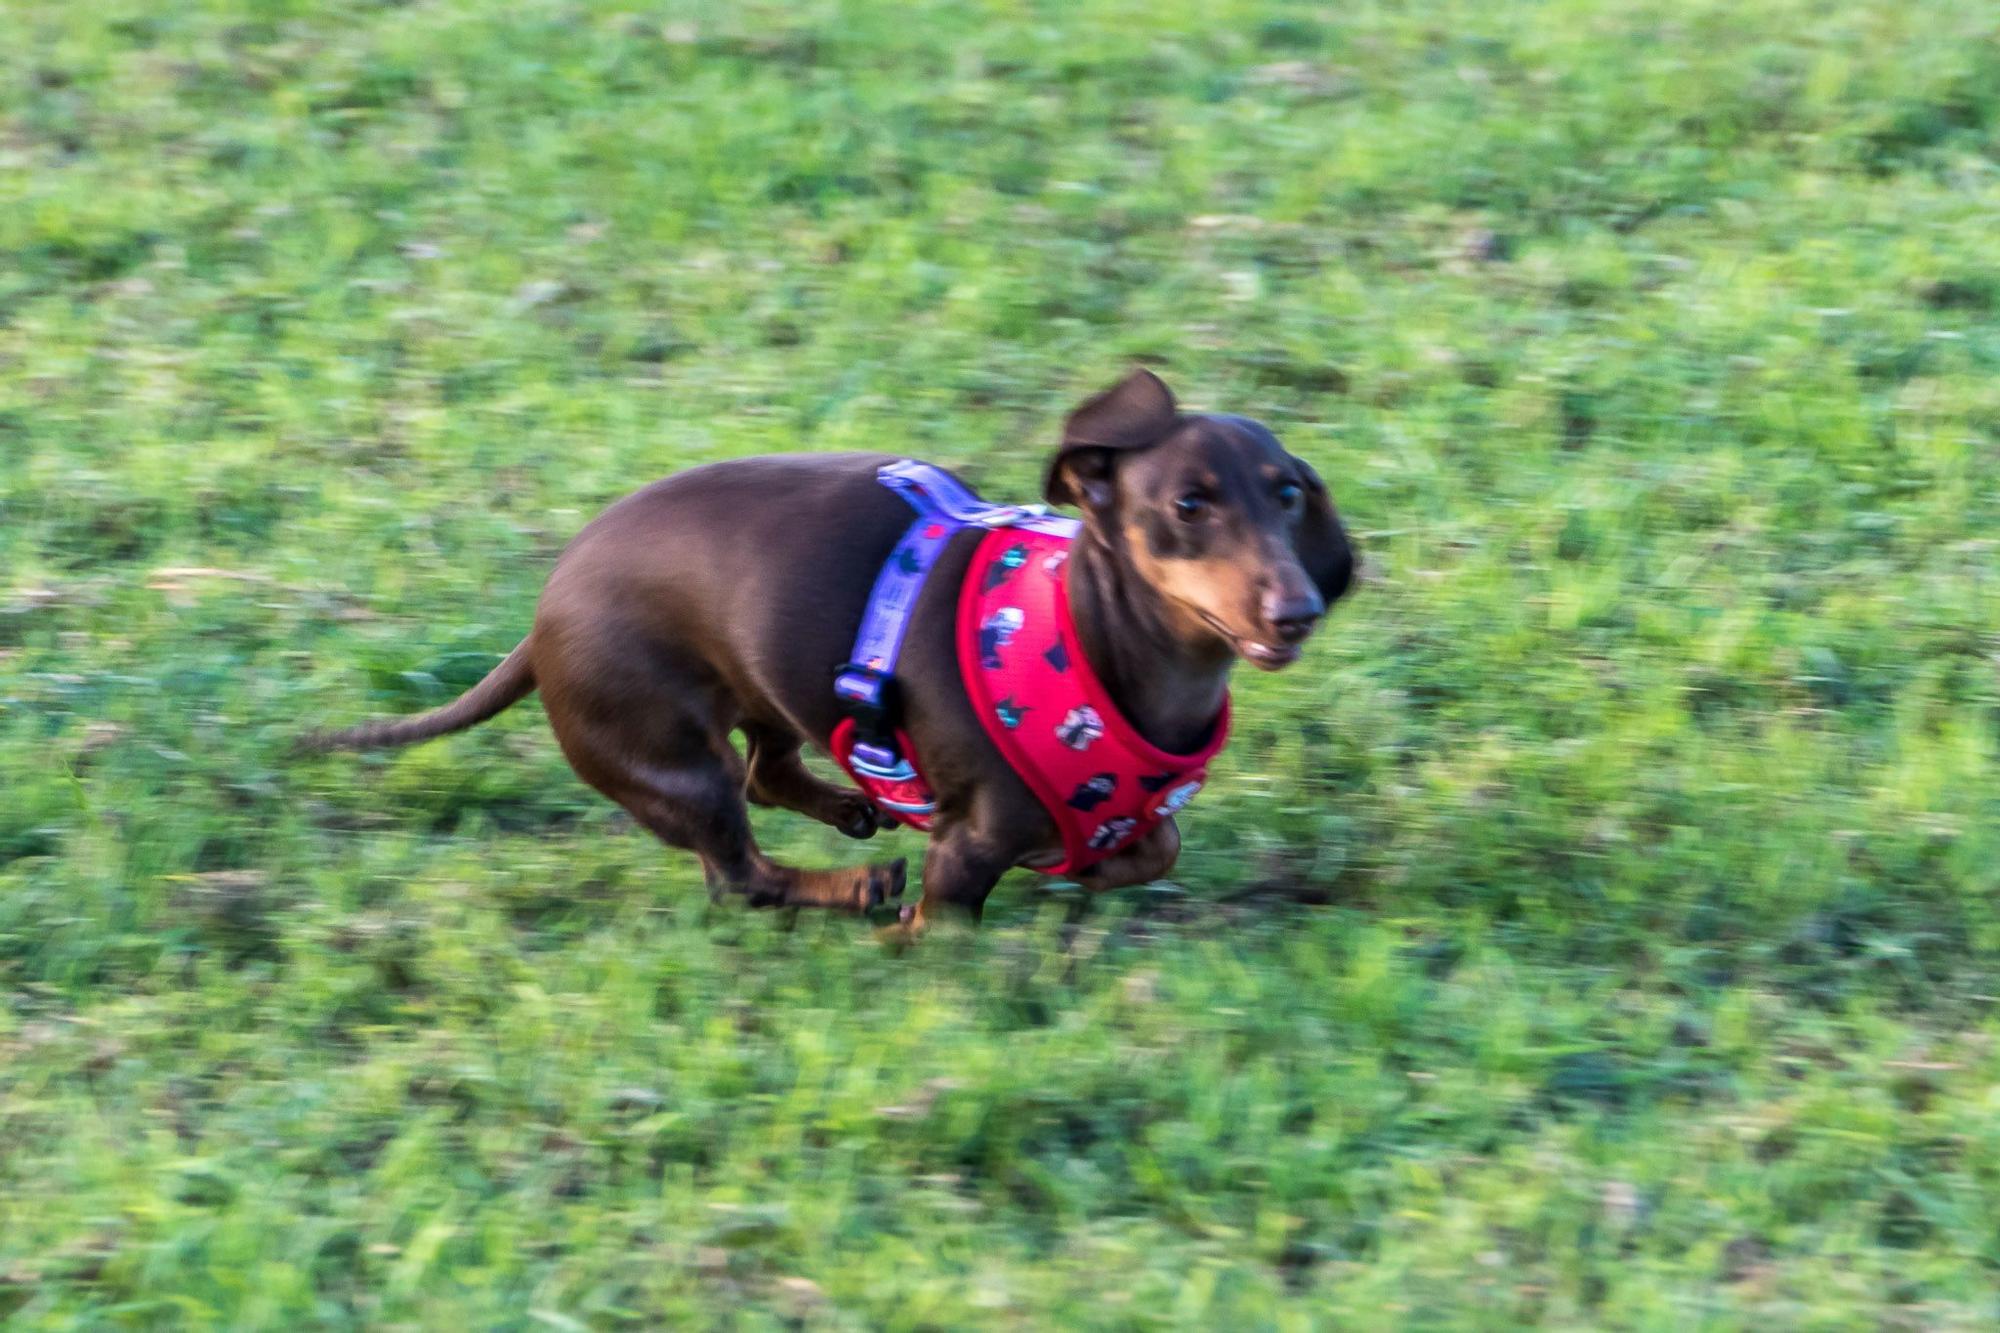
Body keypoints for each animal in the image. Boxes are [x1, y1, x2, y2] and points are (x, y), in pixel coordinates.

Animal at [312, 364, 1360, 924]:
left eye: (1288, 492)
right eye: (1188, 505)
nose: (1297, 609)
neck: (1091, 646)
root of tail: (541, 619)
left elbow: (1159, 842)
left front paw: (1097, 864)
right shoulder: (968, 849)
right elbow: (944, 924)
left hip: (770, 692)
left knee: (768, 776)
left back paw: (856, 815)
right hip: (671, 761)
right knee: (739, 873)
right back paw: (855, 885)